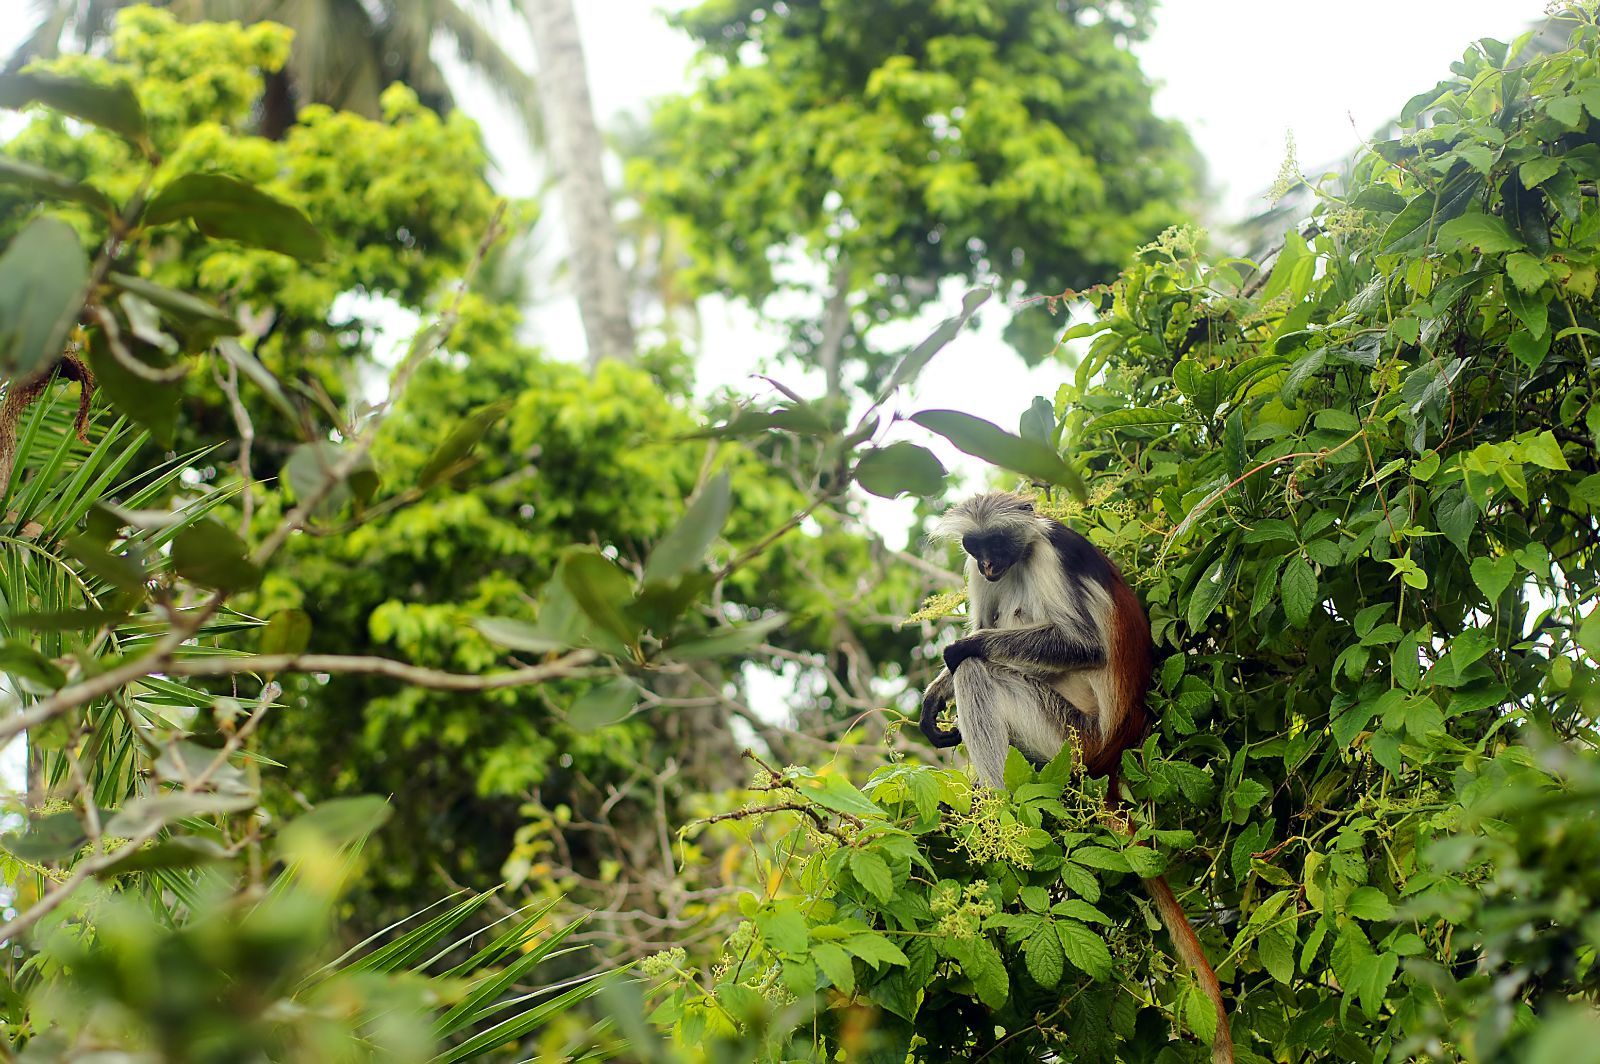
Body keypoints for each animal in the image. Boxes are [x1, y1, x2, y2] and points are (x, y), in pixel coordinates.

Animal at [921, 492, 1228, 1062]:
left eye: (999, 543)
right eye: (976, 547)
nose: (989, 566)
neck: (1019, 558)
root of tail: (1110, 755)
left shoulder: (1049, 554)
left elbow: (1083, 646)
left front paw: (955, 653)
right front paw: (935, 694)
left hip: (1068, 737)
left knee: (982, 668)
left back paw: (997, 814)